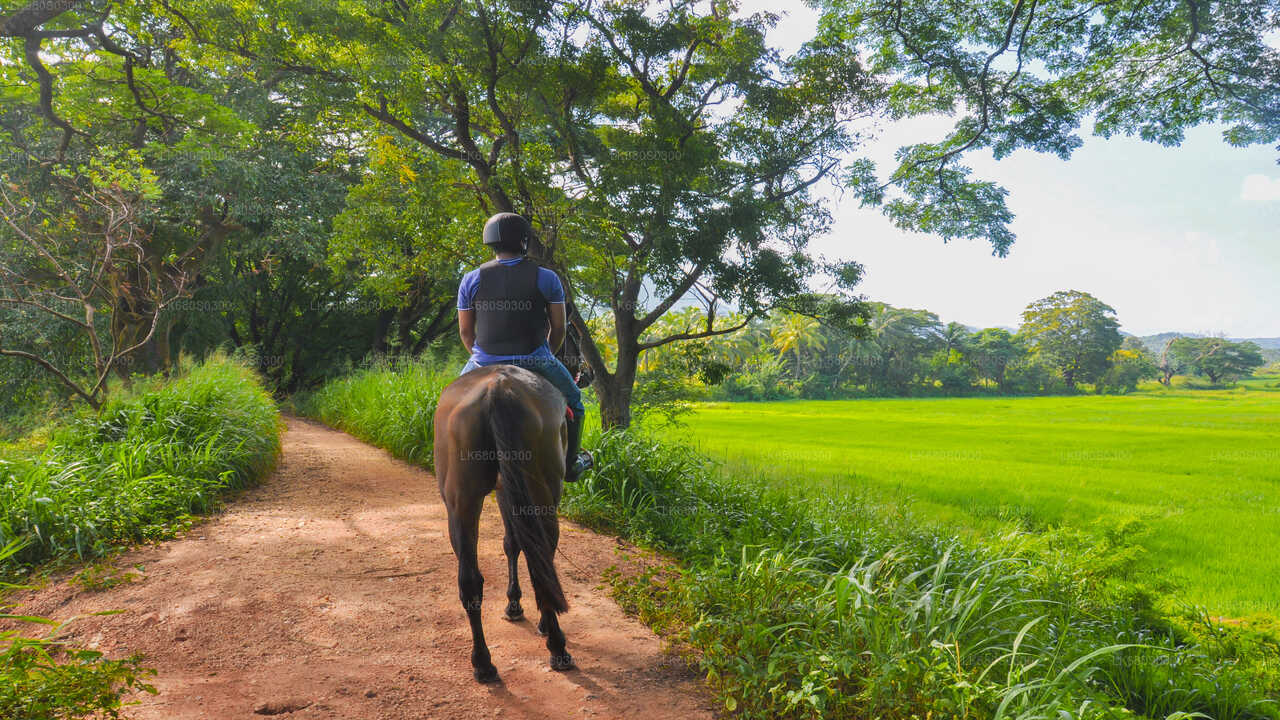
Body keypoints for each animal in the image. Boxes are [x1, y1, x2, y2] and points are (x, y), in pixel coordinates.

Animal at [432, 361, 573, 681]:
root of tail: (497, 388)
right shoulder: (514, 492)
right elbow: (518, 545)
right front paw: (520, 608)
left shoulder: (505, 490)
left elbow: (512, 543)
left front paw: (515, 604)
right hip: (544, 492)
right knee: (541, 561)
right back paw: (556, 644)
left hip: (462, 502)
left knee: (470, 581)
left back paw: (483, 663)